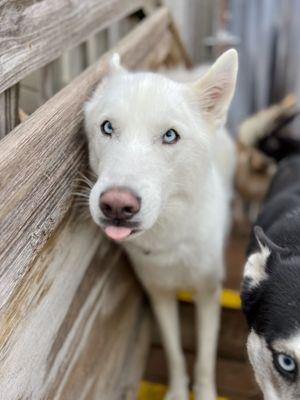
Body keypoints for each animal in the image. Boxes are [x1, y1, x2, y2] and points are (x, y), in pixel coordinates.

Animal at [85, 48, 239, 398]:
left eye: (170, 136)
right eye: (107, 128)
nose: (117, 205)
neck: (170, 241)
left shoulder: (209, 294)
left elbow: (205, 360)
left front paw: (205, 393)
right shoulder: (159, 295)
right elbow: (174, 353)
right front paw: (179, 391)